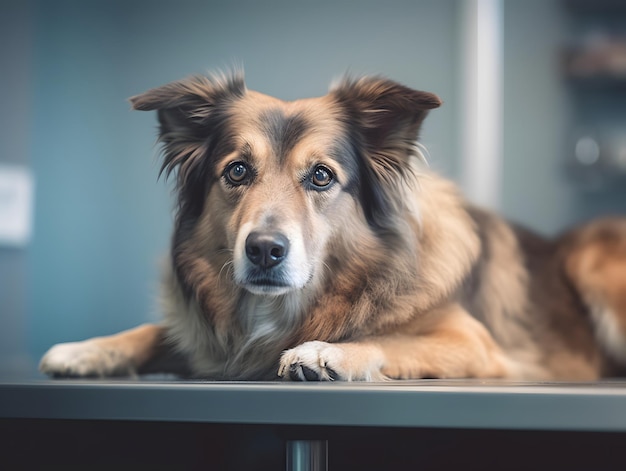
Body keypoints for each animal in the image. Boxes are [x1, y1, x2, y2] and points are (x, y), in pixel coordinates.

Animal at [37, 71, 624, 384]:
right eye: (237, 171)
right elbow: (156, 330)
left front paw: (326, 352)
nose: (264, 250)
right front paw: (87, 349)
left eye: (321, 176)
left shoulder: (475, 343)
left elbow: (390, 337)